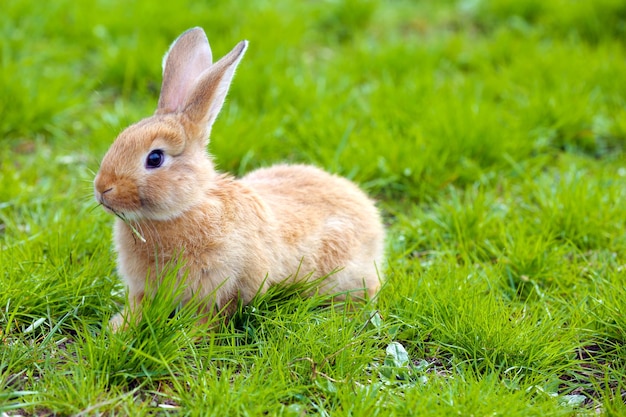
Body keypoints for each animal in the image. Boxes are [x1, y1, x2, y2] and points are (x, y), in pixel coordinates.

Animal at [94, 27, 386, 330]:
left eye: (155, 158)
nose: (102, 189)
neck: (187, 208)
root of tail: (372, 218)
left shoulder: (222, 288)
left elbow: (208, 318)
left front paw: (191, 335)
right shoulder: (143, 291)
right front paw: (117, 330)